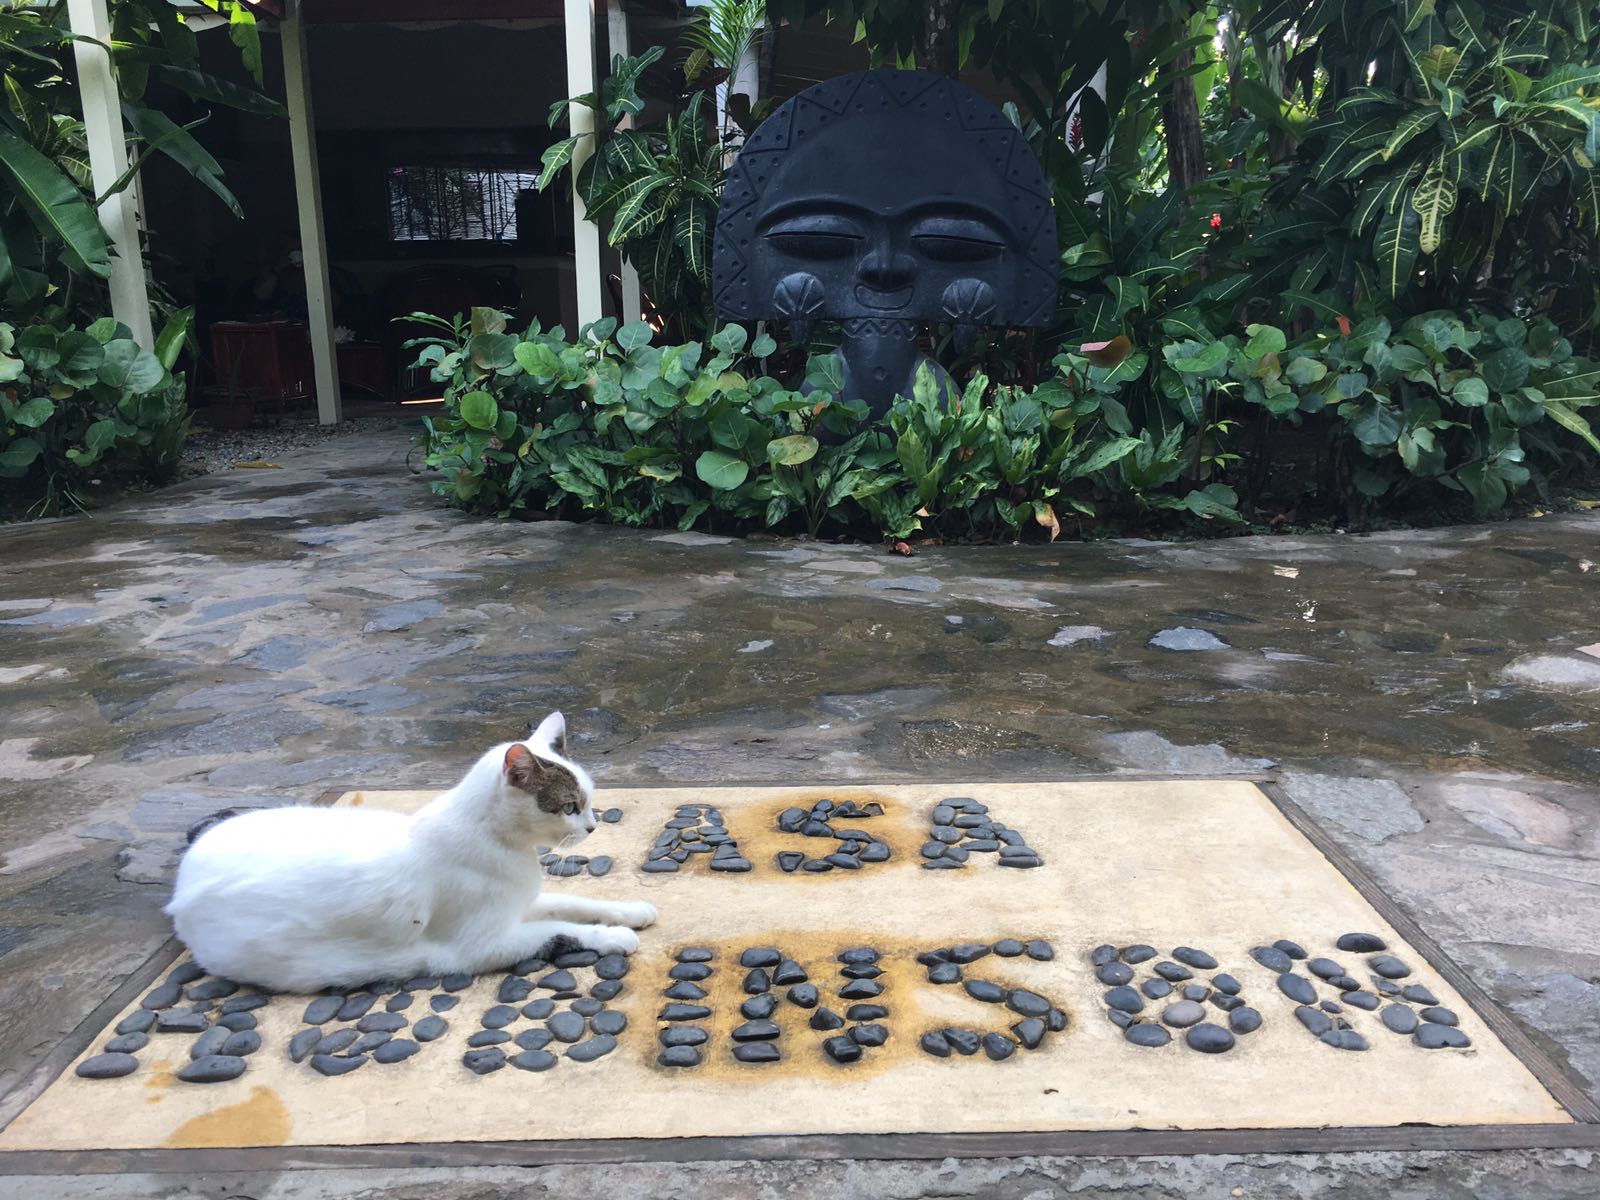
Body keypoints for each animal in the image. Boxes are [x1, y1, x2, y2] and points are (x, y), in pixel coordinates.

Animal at [165, 713, 652, 998]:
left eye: (588, 801)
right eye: (569, 807)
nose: (592, 826)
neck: (501, 842)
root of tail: (183, 879)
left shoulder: (523, 901)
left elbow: (575, 901)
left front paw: (629, 909)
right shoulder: (477, 946)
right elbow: (560, 930)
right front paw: (612, 937)